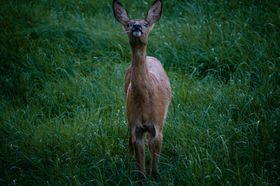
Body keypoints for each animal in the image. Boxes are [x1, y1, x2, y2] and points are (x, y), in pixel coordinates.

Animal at [112, 0, 172, 183]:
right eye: (128, 24)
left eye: (145, 24)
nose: (137, 26)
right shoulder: (136, 127)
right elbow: (141, 165)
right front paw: (141, 178)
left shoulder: (157, 126)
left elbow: (154, 161)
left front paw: (156, 177)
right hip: (128, 113)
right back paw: (129, 156)